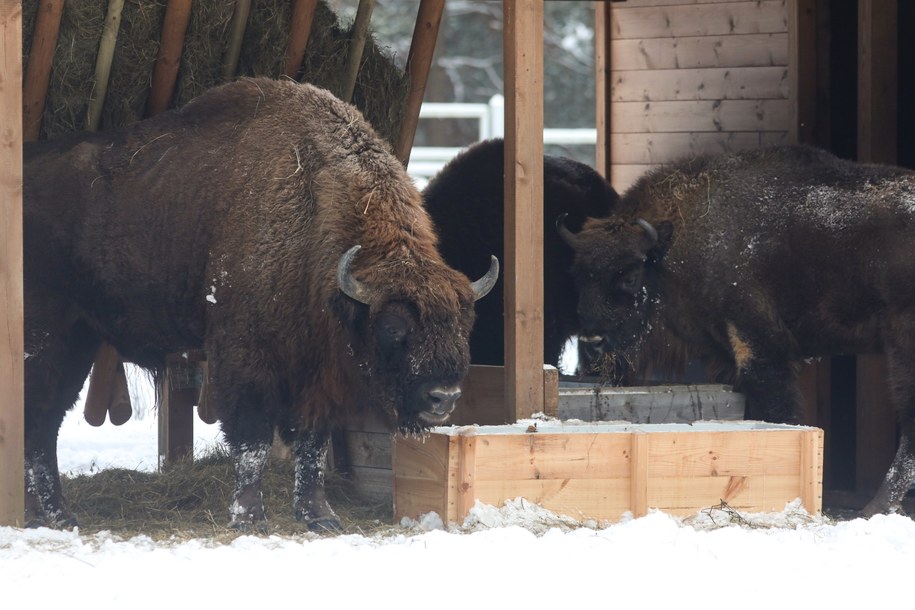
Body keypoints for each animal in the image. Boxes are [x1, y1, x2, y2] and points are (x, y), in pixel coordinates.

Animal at [26, 78, 500, 528]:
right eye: (393, 327)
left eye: (464, 325)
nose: (442, 397)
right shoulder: (245, 358)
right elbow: (252, 440)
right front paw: (250, 517)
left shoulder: (317, 376)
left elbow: (312, 446)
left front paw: (320, 516)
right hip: (48, 336)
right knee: (39, 418)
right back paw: (55, 516)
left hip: (80, 339)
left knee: (45, 421)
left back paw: (50, 516)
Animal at [560, 145, 915, 516]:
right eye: (578, 275)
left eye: (630, 276)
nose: (592, 342)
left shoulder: (757, 341)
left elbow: (775, 406)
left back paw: (874, 508)